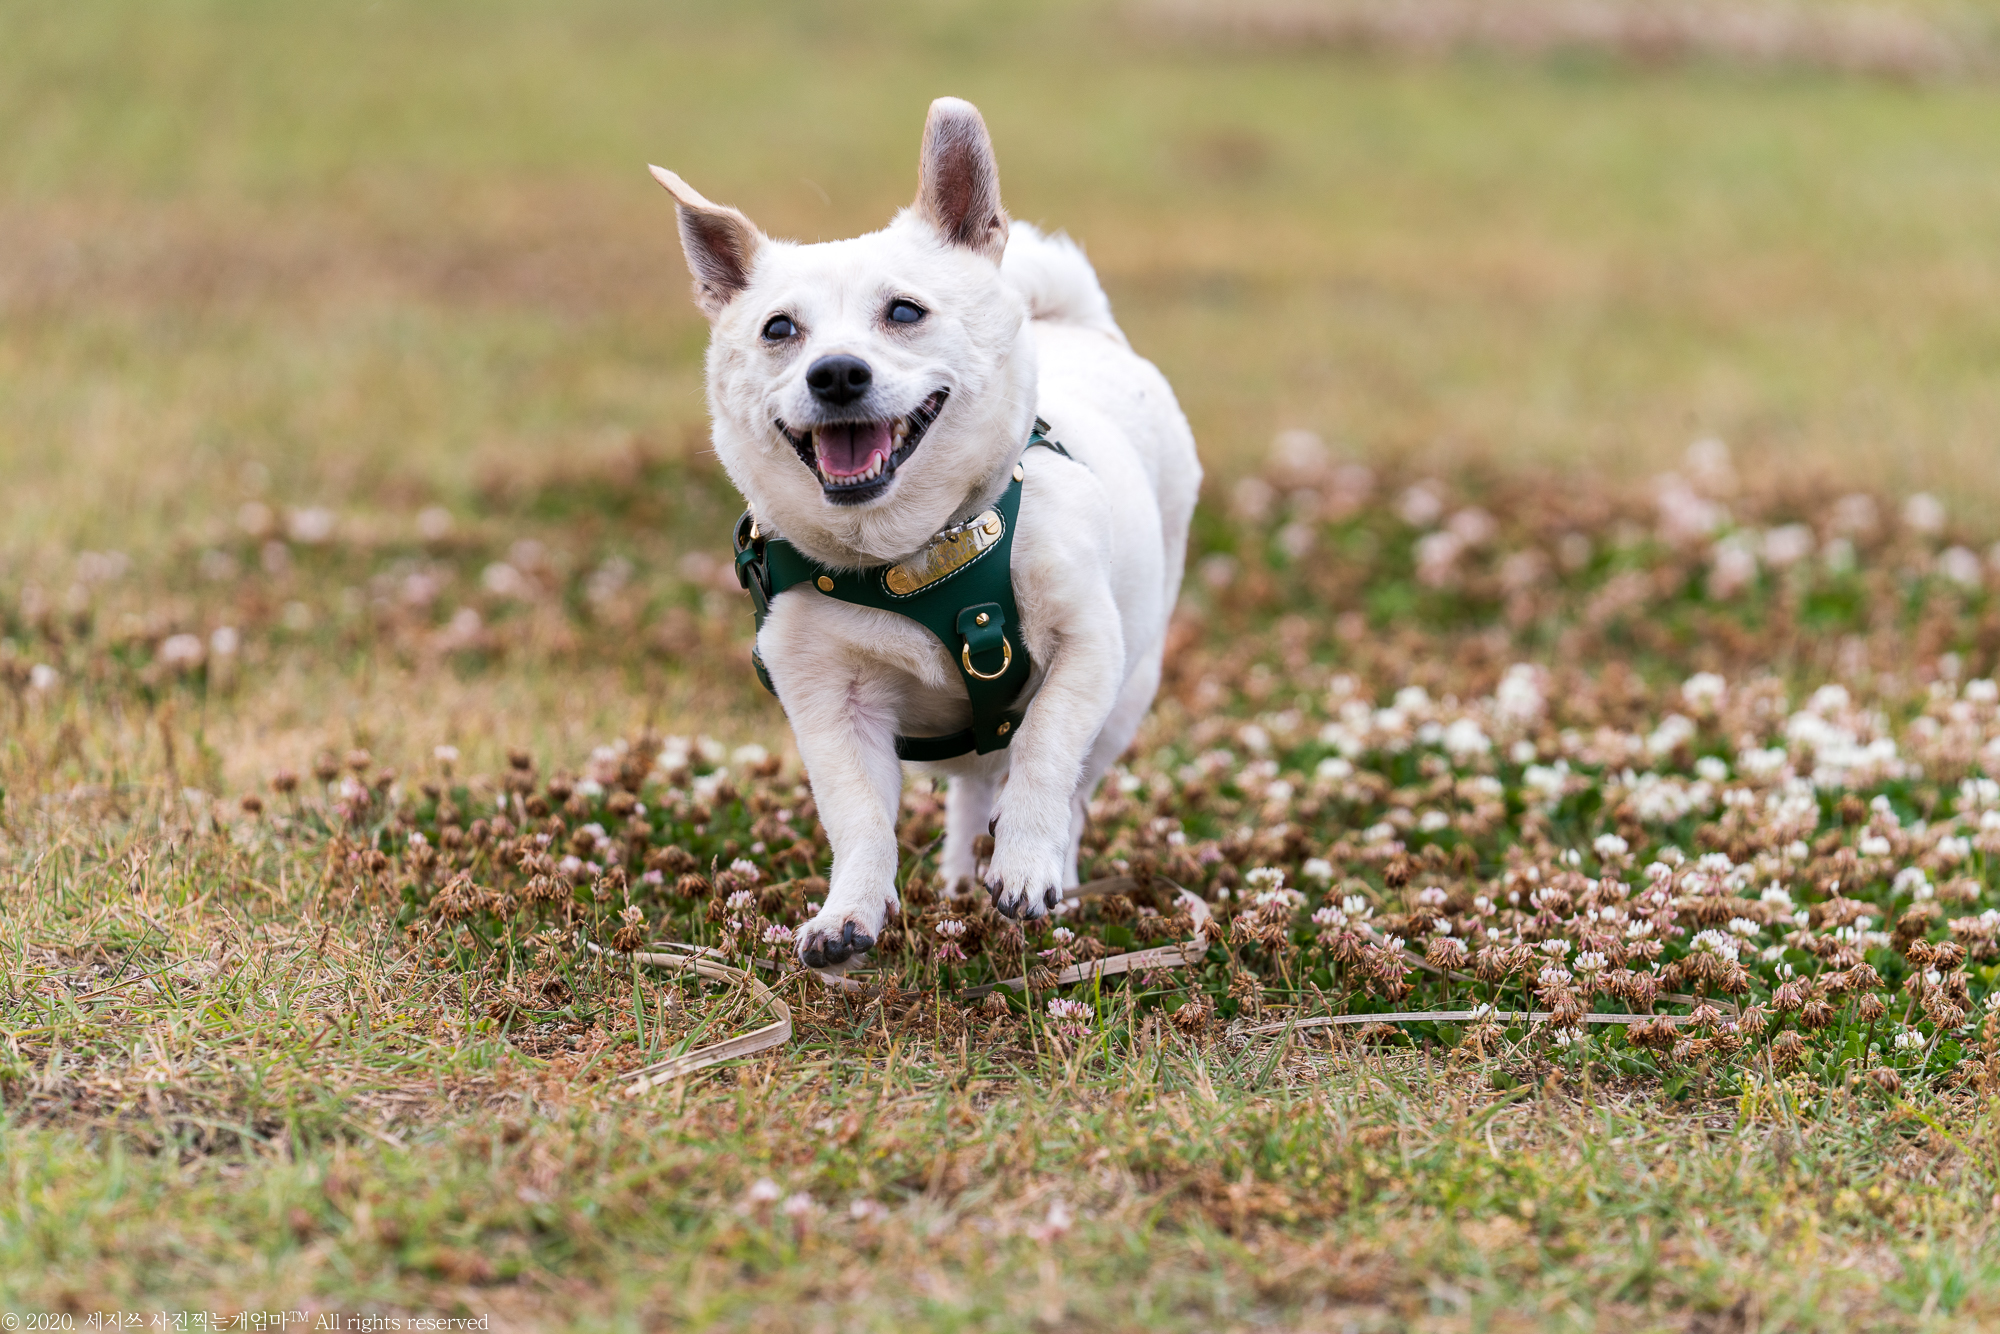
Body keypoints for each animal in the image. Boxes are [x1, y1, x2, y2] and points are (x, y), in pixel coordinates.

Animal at [648, 96, 1192, 972]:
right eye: (778, 330)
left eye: (903, 311)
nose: (836, 373)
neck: (915, 556)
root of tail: (1075, 324)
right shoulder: (830, 706)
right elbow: (859, 818)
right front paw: (849, 913)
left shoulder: (1087, 653)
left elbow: (1045, 752)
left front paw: (1029, 860)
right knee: (975, 783)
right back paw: (969, 877)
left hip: (1128, 693)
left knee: (1063, 781)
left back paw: (1049, 872)